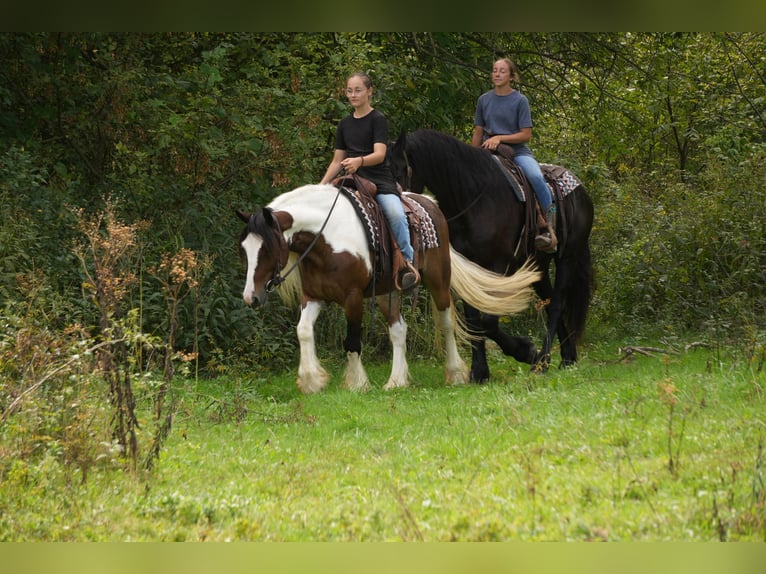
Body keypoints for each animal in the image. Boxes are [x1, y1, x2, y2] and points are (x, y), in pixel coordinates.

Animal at [237, 183, 540, 394]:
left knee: (446, 324)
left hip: (438, 280)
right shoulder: (313, 297)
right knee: (398, 330)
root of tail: (428, 203)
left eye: (266, 249)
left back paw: (454, 373)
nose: (251, 298)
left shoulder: (352, 298)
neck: (326, 239)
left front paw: (357, 383)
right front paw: (312, 380)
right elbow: (303, 331)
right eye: (244, 249)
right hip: (387, 293)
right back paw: (396, 380)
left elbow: (352, 341)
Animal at [388, 129, 594, 380]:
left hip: (568, 257)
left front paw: (526, 351)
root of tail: (580, 188)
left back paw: (542, 362)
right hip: (538, 266)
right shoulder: (472, 266)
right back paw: (566, 357)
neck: (472, 198)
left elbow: (488, 320)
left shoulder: (498, 265)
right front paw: (479, 371)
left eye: (398, 168)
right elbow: (473, 319)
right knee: (548, 303)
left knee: (556, 305)